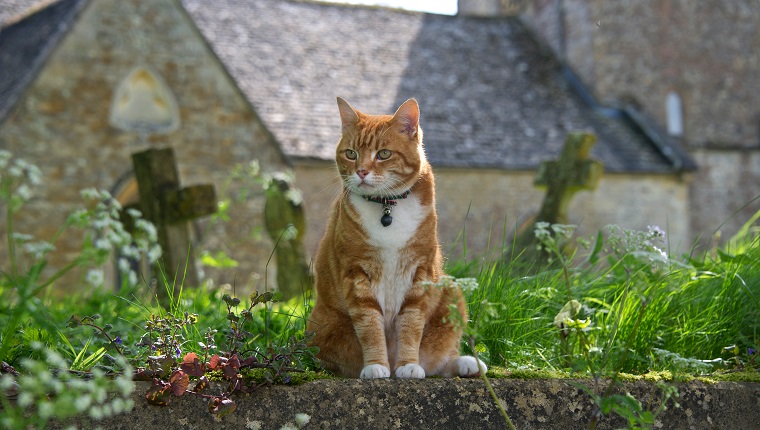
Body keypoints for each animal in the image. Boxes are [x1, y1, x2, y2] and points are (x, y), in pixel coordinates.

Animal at [306, 98, 484, 380]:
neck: (387, 206)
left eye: (383, 154)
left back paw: (467, 364)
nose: (361, 172)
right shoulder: (356, 273)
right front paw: (376, 365)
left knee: (438, 361)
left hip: (451, 291)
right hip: (323, 326)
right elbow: (370, 325)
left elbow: (411, 324)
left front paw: (408, 364)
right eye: (351, 154)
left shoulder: (420, 273)